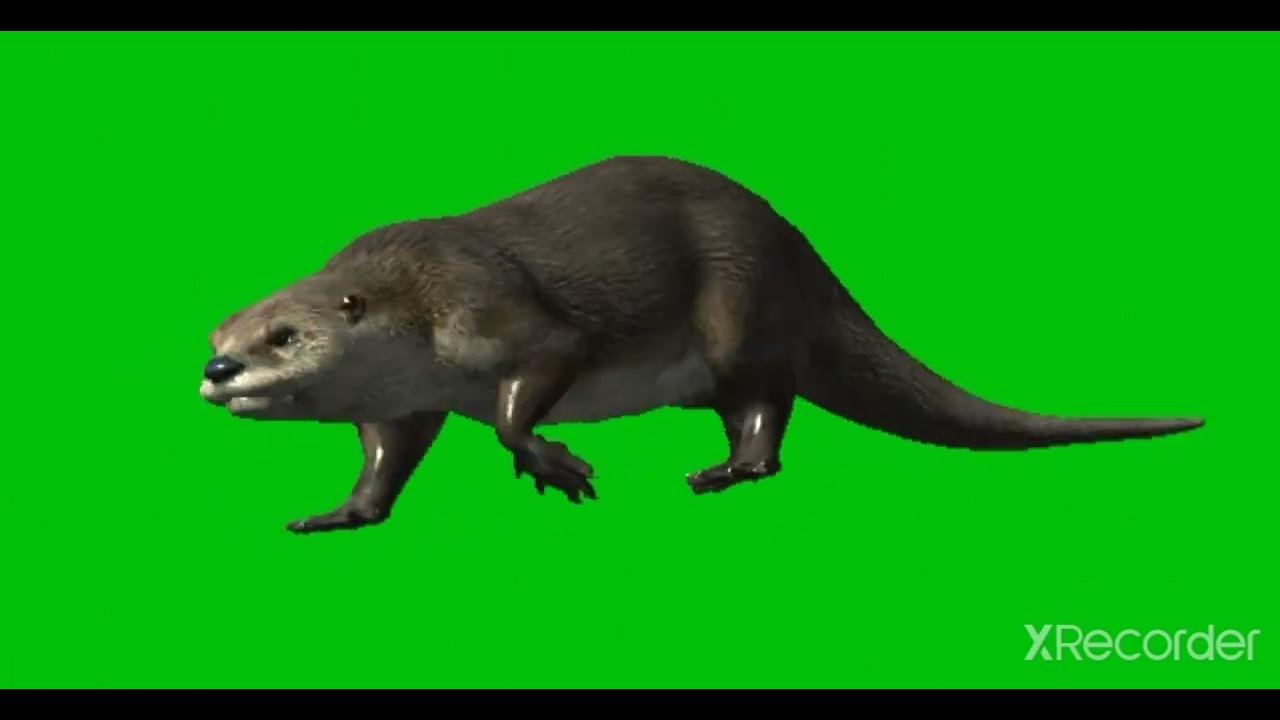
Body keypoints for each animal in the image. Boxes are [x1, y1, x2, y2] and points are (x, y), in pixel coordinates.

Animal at [199, 155, 1204, 534]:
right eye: (215, 333)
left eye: (283, 336)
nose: (218, 369)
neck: (415, 293)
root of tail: (798, 248)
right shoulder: (406, 399)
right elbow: (387, 455)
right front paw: (341, 511)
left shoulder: (496, 310)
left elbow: (526, 394)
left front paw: (556, 463)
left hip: (736, 308)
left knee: (765, 397)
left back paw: (725, 471)